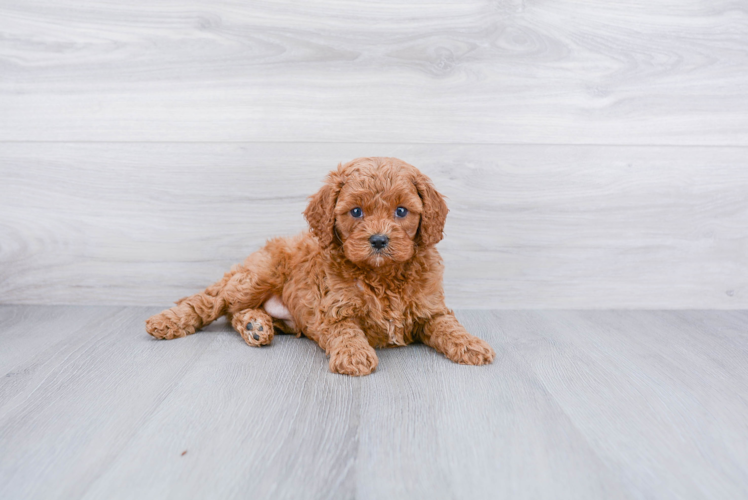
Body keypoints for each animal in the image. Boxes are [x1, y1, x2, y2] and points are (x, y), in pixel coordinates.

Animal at [146, 157, 496, 376]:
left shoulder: (431, 309)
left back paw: (255, 326)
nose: (379, 240)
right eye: (356, 211)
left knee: (235, 312)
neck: (381, 274)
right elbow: (347, 331)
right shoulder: (334, 310)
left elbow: (448, 325)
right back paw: (168, 321)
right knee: (214, 300)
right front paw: (354, 355)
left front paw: (471, 344)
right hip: (258, 275)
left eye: (401, 211)